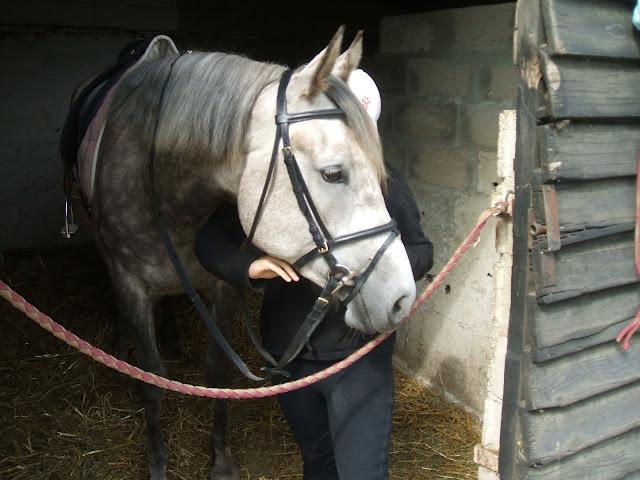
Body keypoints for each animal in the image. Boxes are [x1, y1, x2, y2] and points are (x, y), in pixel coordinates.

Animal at [64, 26, 417, 480]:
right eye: (333, 173)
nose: (401, 297)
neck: (162, 185)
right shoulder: (131, 284)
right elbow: (152, 379)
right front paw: (157, 461)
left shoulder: (223, 286)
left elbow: (217, 371)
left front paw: (222, 461)